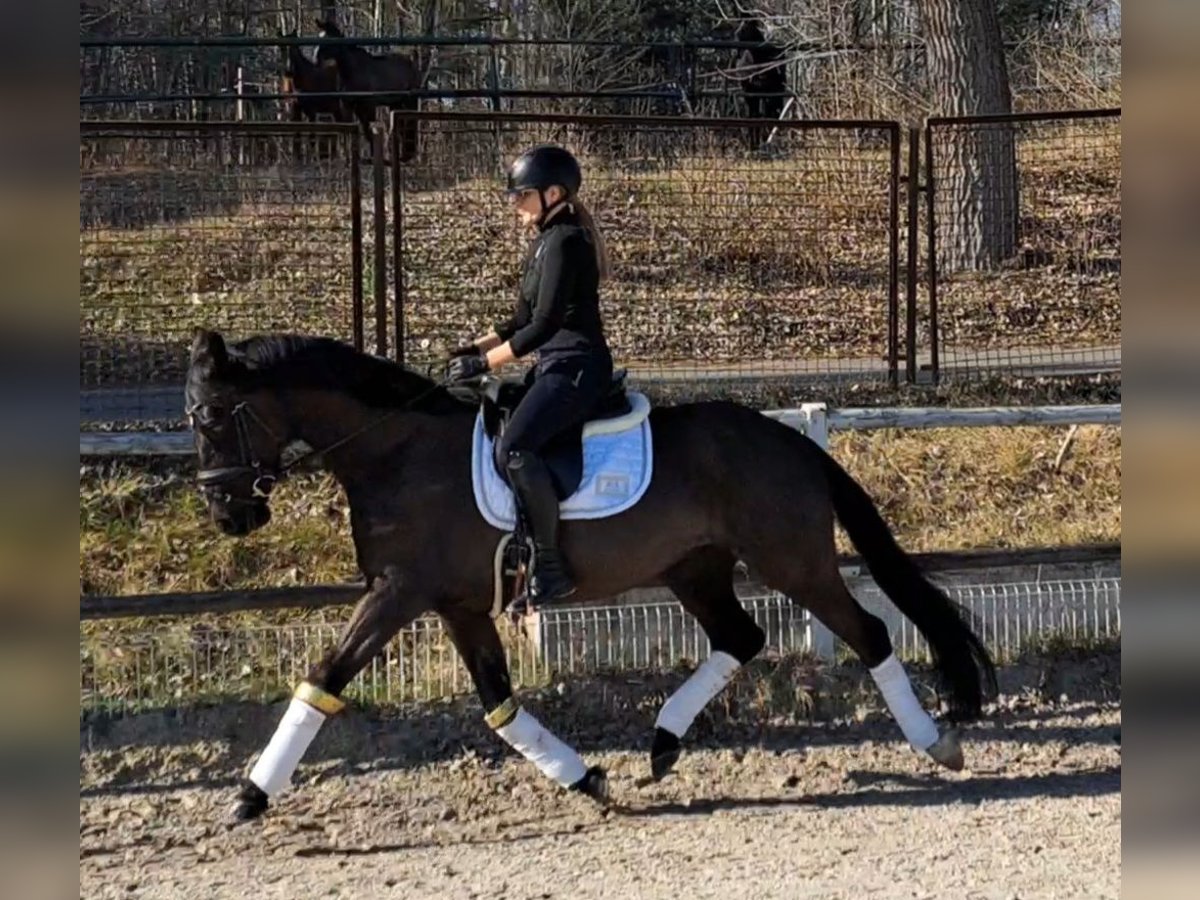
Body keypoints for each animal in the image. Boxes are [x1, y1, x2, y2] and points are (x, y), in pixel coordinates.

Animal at [184, 331, 993, 825]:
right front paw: (587, 779)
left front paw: (249, 796)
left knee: (870, 631)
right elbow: (499, 705)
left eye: (215, 415)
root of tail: (788, 439)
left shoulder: (398, 594)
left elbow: (324, 676)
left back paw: (936, 743)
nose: (228, 513)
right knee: (741, 636)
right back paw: (662, 744)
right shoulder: (457, 605)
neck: (397, 452)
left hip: (792, 561)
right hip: (695, 569)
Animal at [314, 19, 422, 163]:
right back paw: (402, 156)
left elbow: (369, 132)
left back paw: (406, 156)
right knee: (399, 127)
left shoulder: (368, 105)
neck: (352, 71)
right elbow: (350, 131)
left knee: (409, 124)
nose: (316, 58)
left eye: (328, 38)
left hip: (409, 101)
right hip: (395, 103)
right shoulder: (348, 106)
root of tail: (412, 60)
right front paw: (349, 159)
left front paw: (373, 158)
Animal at [729, 18, 787, 148]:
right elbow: (753, 117)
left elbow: (764, 116)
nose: (734, 52)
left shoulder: (766, 92)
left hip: (776, 92)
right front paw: (753, 144)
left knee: (773, 112)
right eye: (736, 30)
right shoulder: (750, 93)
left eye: (744, 29)